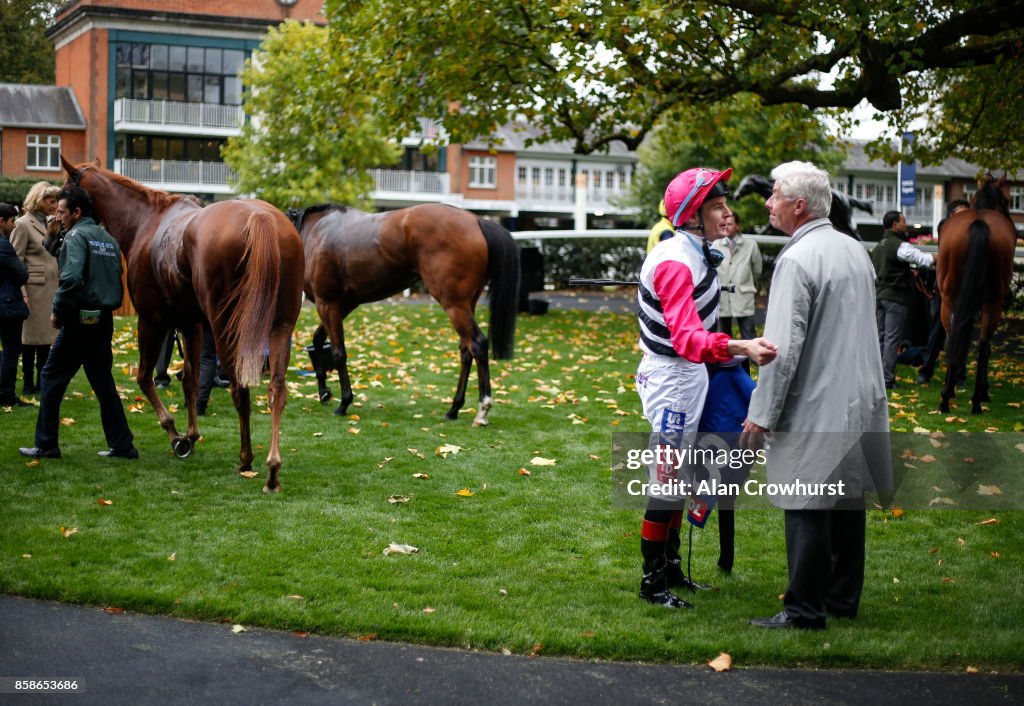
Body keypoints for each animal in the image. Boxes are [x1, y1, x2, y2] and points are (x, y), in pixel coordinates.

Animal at [60, 157, 303, 493]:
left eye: (62, 190)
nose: (53, 229)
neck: (146, 222)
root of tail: (261, 216)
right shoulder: (191, 323)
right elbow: (190, 379)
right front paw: (192, 434)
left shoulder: (152, 320)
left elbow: (145, 377)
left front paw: (177, 436)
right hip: (280, 325)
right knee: (276, 389)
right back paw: (272, 469)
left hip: (226, 325)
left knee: (240, 390)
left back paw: (246, 459)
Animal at [286, 200, 520, 426]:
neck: (315, 232)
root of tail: (476, 220)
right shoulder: (344, 305)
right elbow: (318, 341)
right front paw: (324, 391)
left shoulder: (327, 303)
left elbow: (338, 352)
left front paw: (344, 403)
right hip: (467, 303)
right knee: (466, 350)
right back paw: (453, 409)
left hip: (454, 304)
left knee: (478, 344)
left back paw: (482, 411)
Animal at [937, 172, 1015, 413]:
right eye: (1006, 200)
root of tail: (979, 223)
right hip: (991, 301)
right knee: (981, 344)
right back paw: (974, 400)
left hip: (951, 299)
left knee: (956, 338)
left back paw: (948, 399)